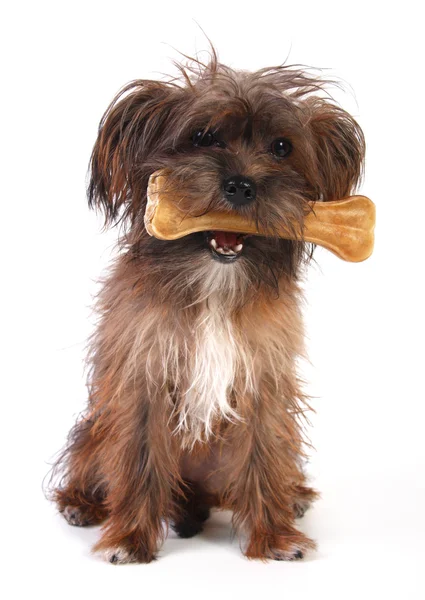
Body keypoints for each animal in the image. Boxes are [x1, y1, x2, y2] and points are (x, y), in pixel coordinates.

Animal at [50, 50, 364, 564]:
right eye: (201, 137)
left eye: (282, 147)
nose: (241, 185)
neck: (214, 287)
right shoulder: (143, 380)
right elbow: (138, 461)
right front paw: (130, 539)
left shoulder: (263, 386)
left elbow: (263, 458)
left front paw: (274, 536)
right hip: (97, 431)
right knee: (90, 462)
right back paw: (84, 504)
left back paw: (286, 497)